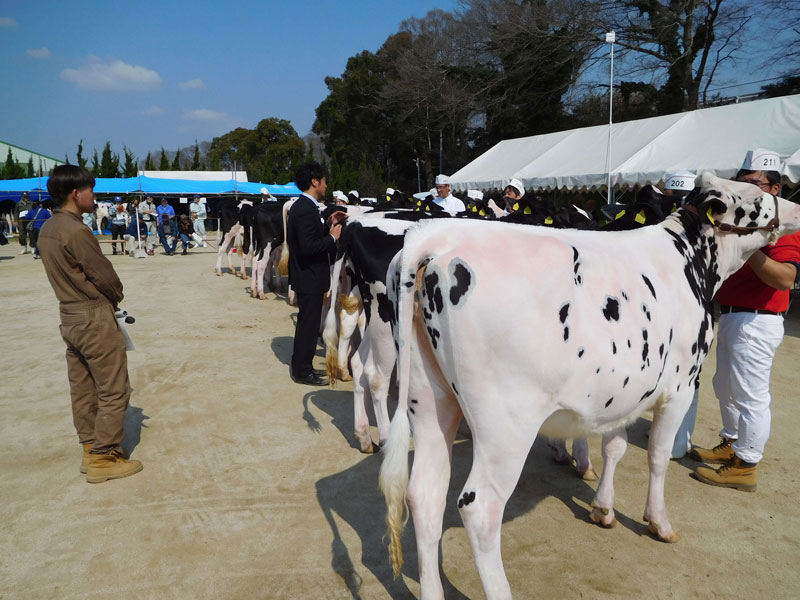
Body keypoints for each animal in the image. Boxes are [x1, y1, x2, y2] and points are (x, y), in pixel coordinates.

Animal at [376, 173, 800, 600]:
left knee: (425, 494)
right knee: (479, 509)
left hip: (429, 399)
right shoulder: (679, 385)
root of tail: (435, 237)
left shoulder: (626, 390)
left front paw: (604, 508)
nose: (795, 209)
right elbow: (658, 456)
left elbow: (615, 447)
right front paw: (658, 522)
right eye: (758, 197)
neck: (689, 260)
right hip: (504, 423)